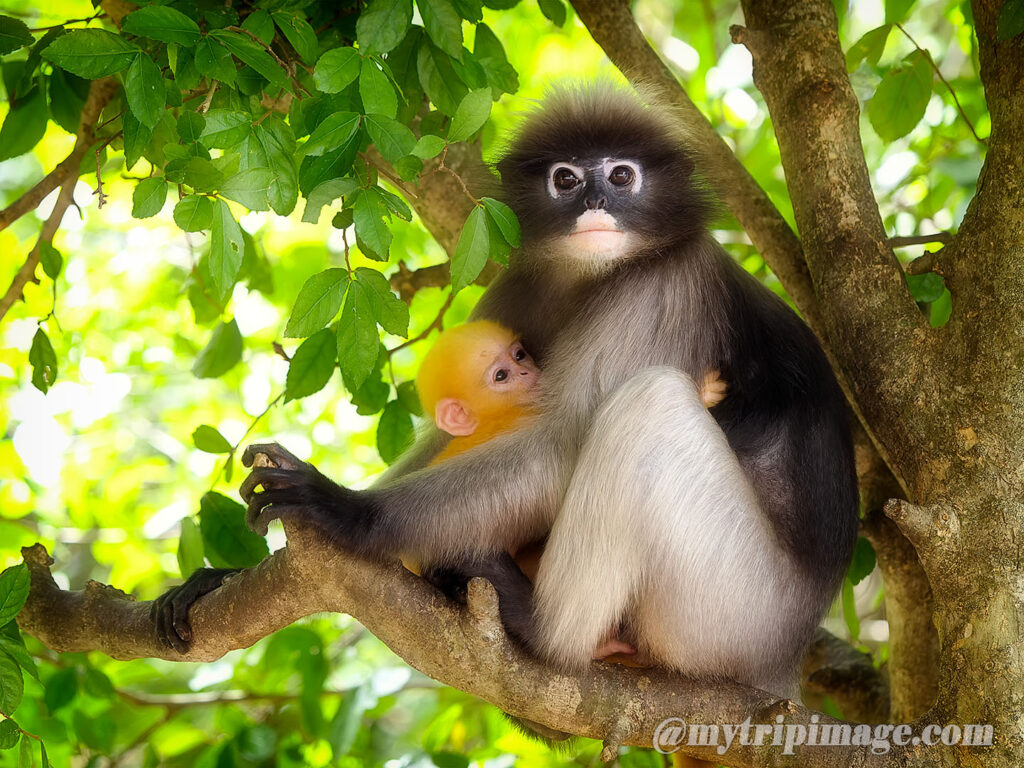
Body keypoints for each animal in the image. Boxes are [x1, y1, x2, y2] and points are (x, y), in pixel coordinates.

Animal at [155, 83, 858, 706]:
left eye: (622, 175)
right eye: (566, 180)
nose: (594, 201)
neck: (588, 277)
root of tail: (784, 664)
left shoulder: (663, 286)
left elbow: (562, 444)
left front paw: (345, 509)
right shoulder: (521, 282)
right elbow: (450, 431)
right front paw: (222, 575)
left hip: (732, 613)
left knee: (647, 404)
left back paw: (541, 629)